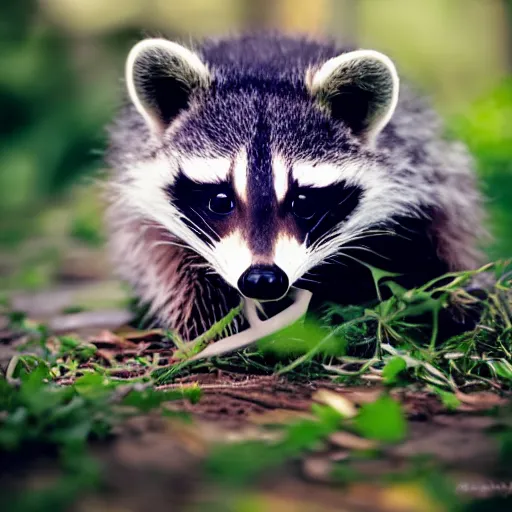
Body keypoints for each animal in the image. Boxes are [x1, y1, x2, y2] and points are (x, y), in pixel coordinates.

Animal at [106, 34, 486, 342]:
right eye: (219, 201)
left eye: (303, 203)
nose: (262, 279)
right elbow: (158, 256)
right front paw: (209, 317)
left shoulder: (422, 162)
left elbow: (441, 235)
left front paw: (452, 297)